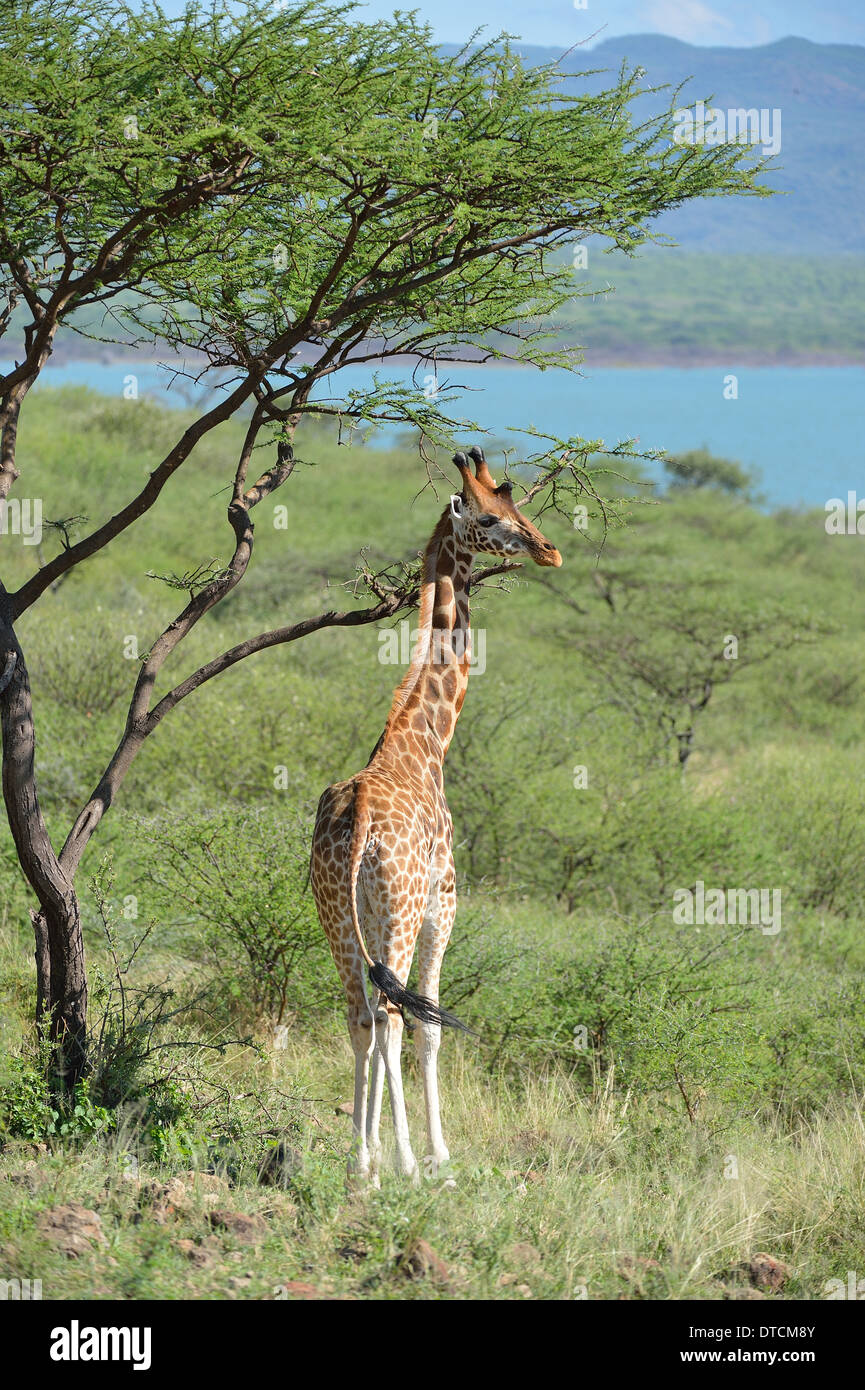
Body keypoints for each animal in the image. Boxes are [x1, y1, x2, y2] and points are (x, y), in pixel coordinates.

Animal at [311, 447, 561, 1184]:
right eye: (491, 517)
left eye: (516, 506)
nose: (550, 549)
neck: (427, 740)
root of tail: (361, 816)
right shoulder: (443, 904)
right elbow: (429, 1023)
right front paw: (438, 1155)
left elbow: (378, 1020)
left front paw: (366, 1157)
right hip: (399, 910)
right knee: (395, 1016)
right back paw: (405, 1162)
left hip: (337, 917)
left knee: (360, 1014)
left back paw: (361, 1165)